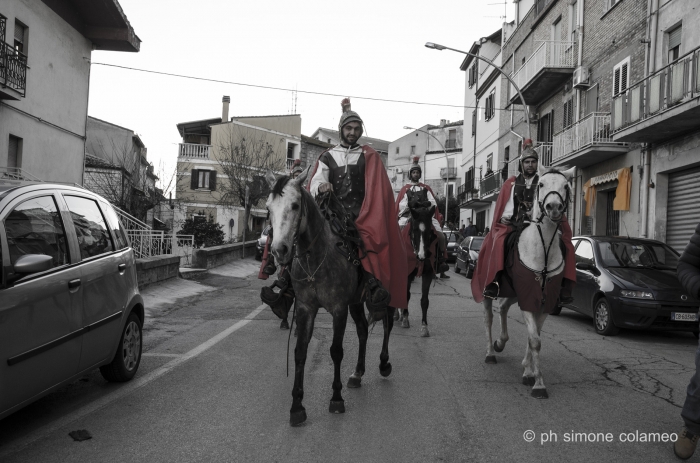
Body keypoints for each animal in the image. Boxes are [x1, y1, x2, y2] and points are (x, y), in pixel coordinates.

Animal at [482, 165, 576, 400]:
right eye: (541, 184)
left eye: (566, 186)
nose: (554, 207)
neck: (542, 250)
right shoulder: (527, 297)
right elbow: (534, 339)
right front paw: (539, 384)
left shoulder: (543, 301)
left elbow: (534, 336)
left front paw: (529, 372)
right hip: (487, 290)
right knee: (489, 317)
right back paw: (490, 352)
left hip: (513, 292)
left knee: (503, 307)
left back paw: (501, 342)